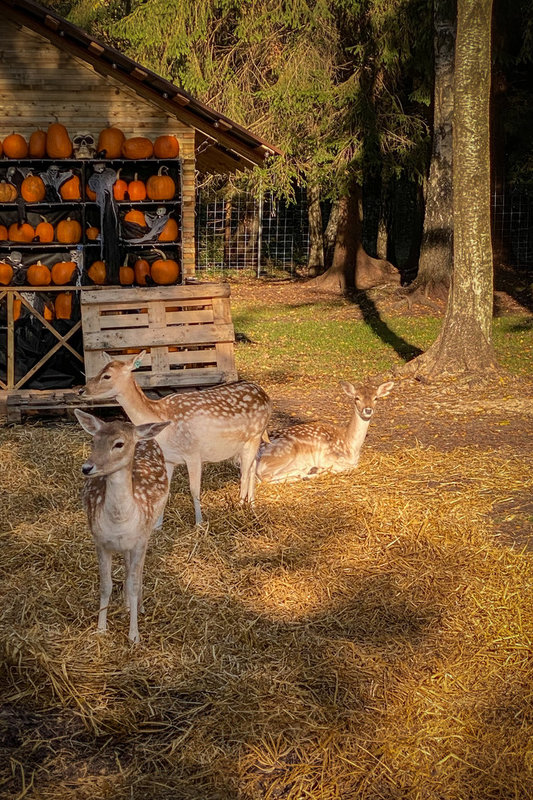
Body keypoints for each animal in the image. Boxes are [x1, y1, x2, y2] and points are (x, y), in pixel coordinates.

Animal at [75, 410, 169, 640]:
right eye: (93, 441)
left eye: (118, 444)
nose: (87, 468)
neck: (119, 521)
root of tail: (142, 434)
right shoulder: (100, 541)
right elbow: (105, 585)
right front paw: (101, 629)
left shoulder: (140, 541)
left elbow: (134, 583)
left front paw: (134, 635)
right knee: (126, 568)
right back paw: (127, 606)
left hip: (146, 533)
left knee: (137, 571)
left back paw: (139, 607)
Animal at [81, 354, 272, 528]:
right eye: (99, 370)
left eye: (107, 375)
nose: (81, 391)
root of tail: (265, 394)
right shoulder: (169, 458)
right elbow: (165, 489)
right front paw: (157, 526)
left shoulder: (193, 452)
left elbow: (194, 490)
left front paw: (199, 524)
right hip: (248, 443)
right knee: (252, 467)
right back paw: (252, 505)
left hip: (255, 435)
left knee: (245, 474)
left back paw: (239, 508)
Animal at [256, 380, 392, 484]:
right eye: (356, 398)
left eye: (376, 398)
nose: (368, 410)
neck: (351, 446)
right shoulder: (326, 457)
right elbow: (348, 467)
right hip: (282, 454)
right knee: (265, 477)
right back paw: (309, 472)